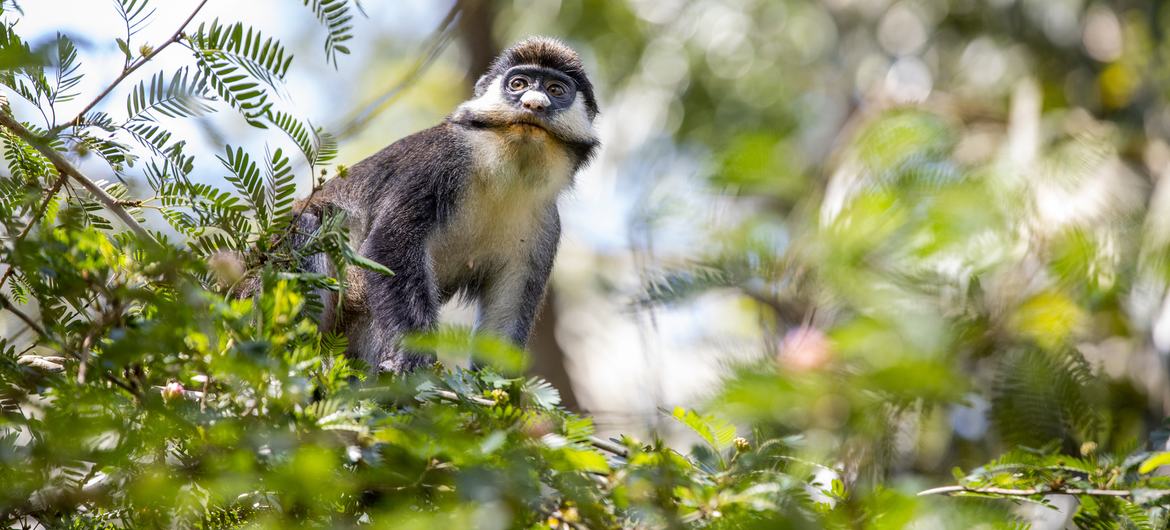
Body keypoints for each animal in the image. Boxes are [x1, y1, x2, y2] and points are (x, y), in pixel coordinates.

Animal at [292, 36, 603, 372]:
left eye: (556, 90)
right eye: (518, 84)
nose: (534, 103)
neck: (506, 176)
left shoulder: (545, 227)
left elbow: (505, 317)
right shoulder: (440, 160)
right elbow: (389, 244)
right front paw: (414, 359)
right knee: (307, 225)